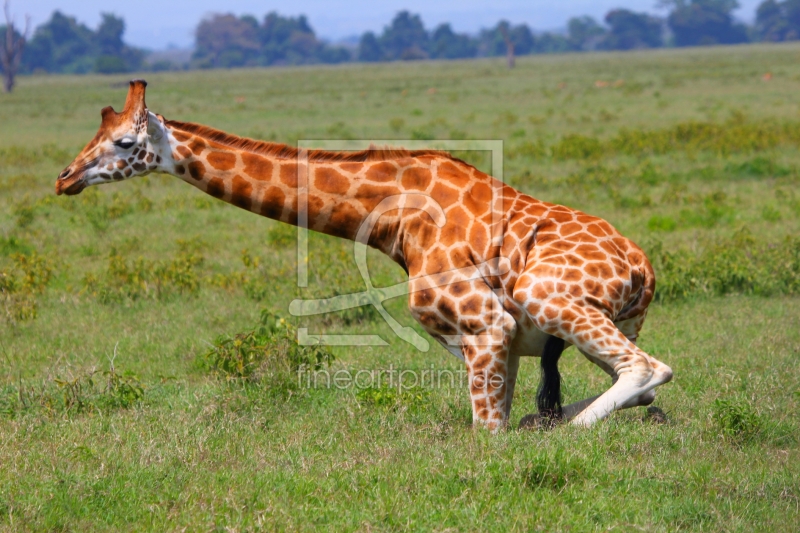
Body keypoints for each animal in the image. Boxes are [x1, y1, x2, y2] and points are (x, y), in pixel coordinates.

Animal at [54, 79, 676, 430]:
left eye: (124, 143)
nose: (65, 178)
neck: (394, 217)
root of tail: (643, 269)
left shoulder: (485, 324)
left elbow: (488, 437)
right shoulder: (488, 340)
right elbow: (501, 418)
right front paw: (528, 423)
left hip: (545, 294)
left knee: (648, 372)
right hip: (605, 320)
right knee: (637, 384)